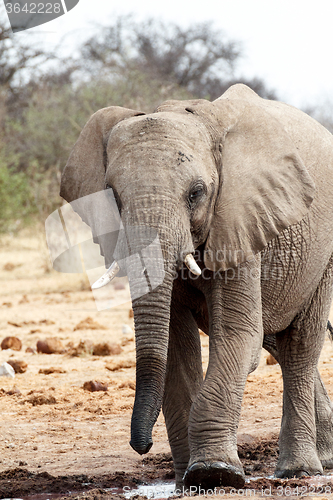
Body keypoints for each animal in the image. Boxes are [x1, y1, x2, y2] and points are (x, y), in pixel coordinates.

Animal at [60, 85, 333, 488]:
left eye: (196, 193)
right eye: (112, 197)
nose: (142, 445)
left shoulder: (239, 216)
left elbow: (237, 332)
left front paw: (213, 473)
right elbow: (174, 344)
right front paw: (186, 481)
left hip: (322, 256)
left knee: (299, 344)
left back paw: (298, 470)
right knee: (277, 341)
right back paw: (323, 458)